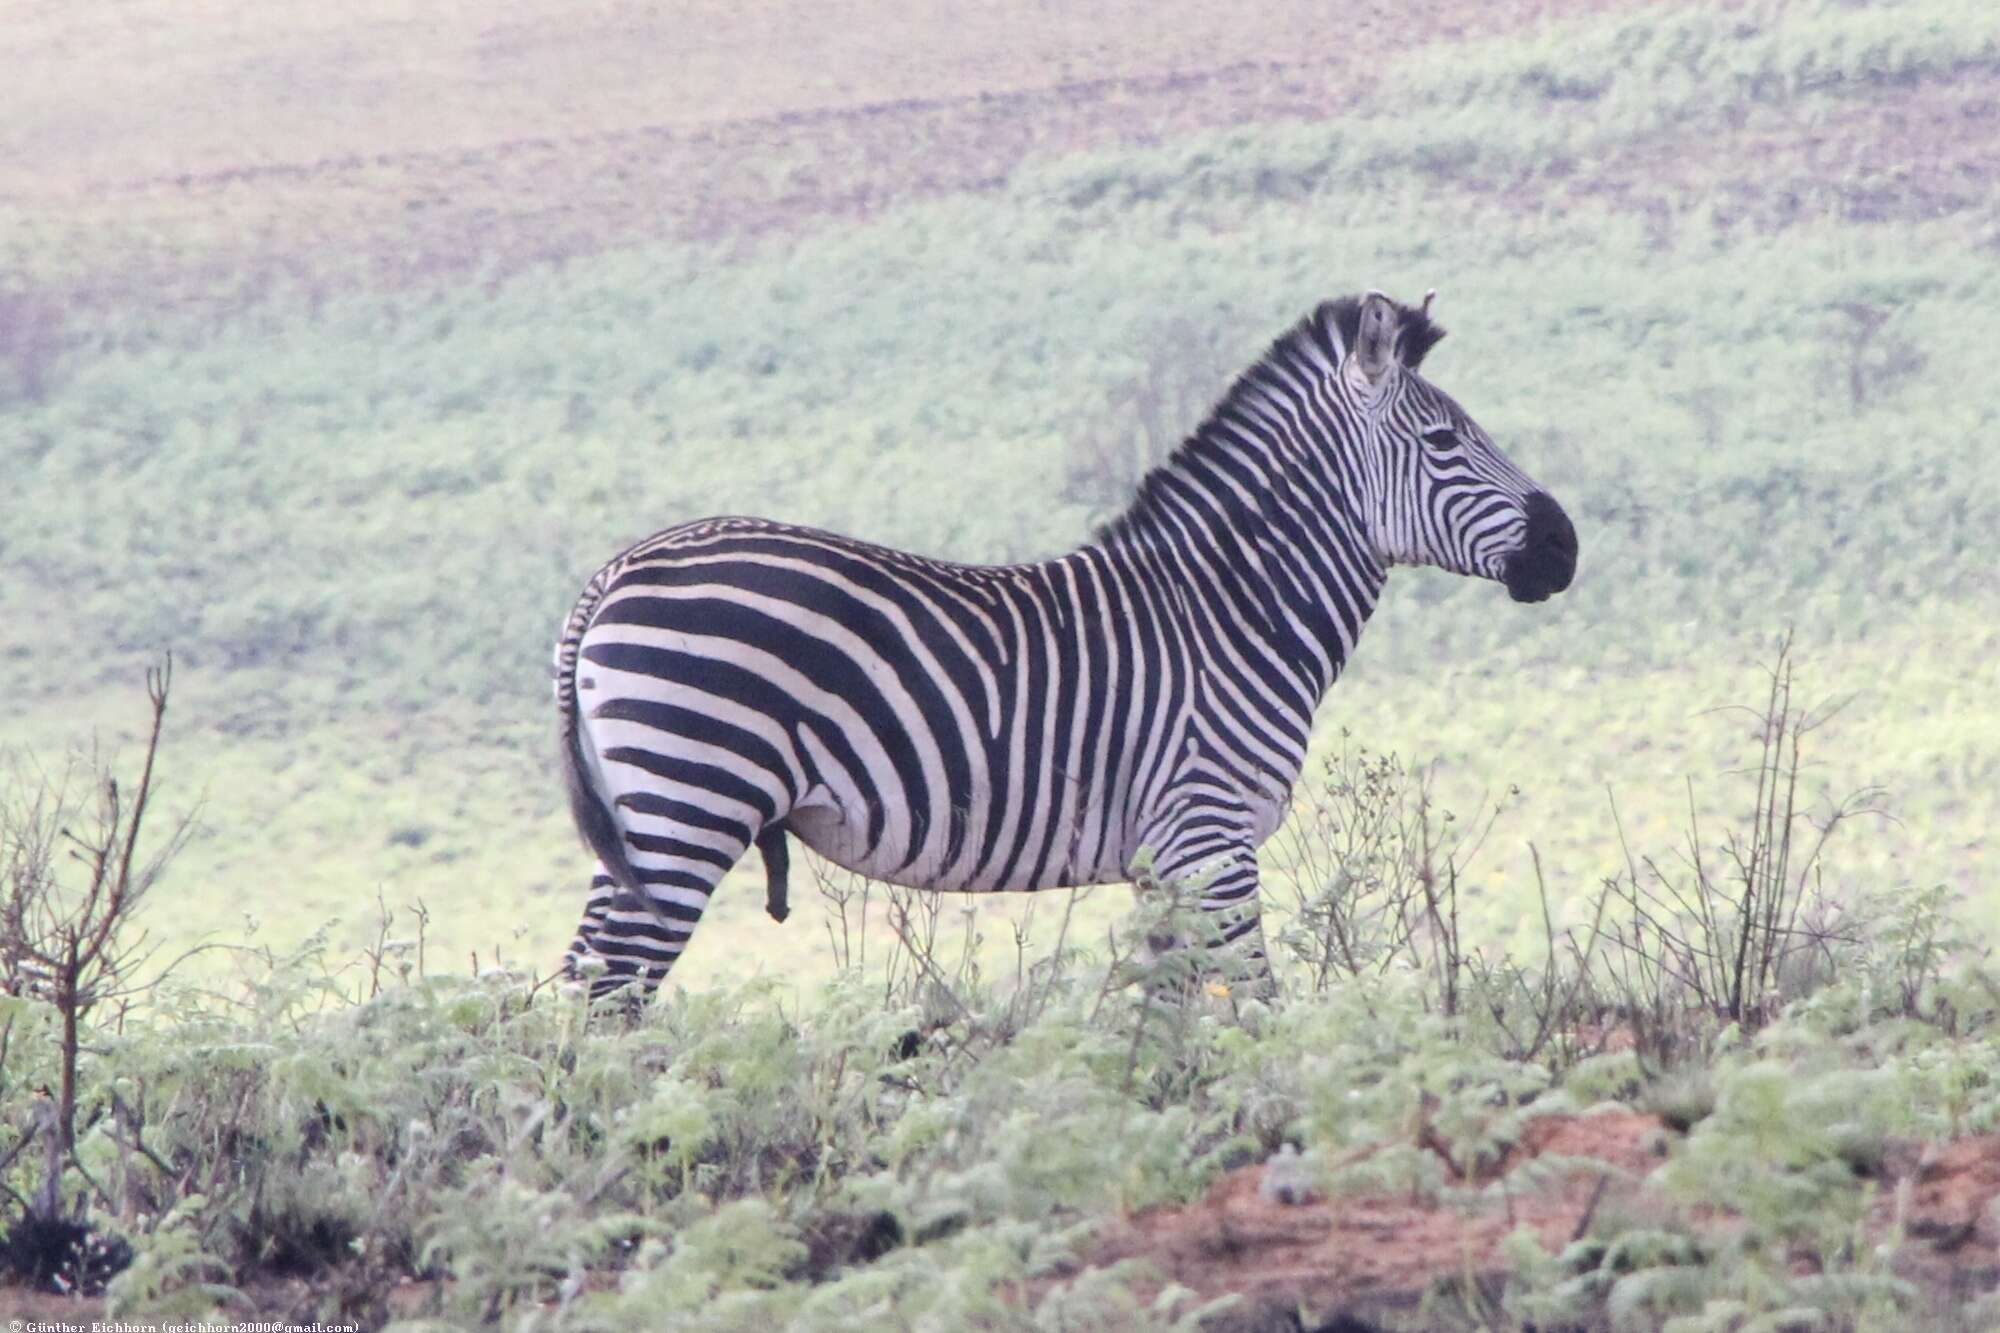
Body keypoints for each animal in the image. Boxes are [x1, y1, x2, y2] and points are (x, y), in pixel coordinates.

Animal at [552, 294, 1576, 996]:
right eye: (1443, 441)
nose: (1564, 547)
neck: (1233, 609)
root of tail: (616, 571)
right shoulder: (1210, 835)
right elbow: (1252, 1003)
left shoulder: (1166, 859)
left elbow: (1173, 1018)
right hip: (690, 796)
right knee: (608, 996)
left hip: (646, 816)